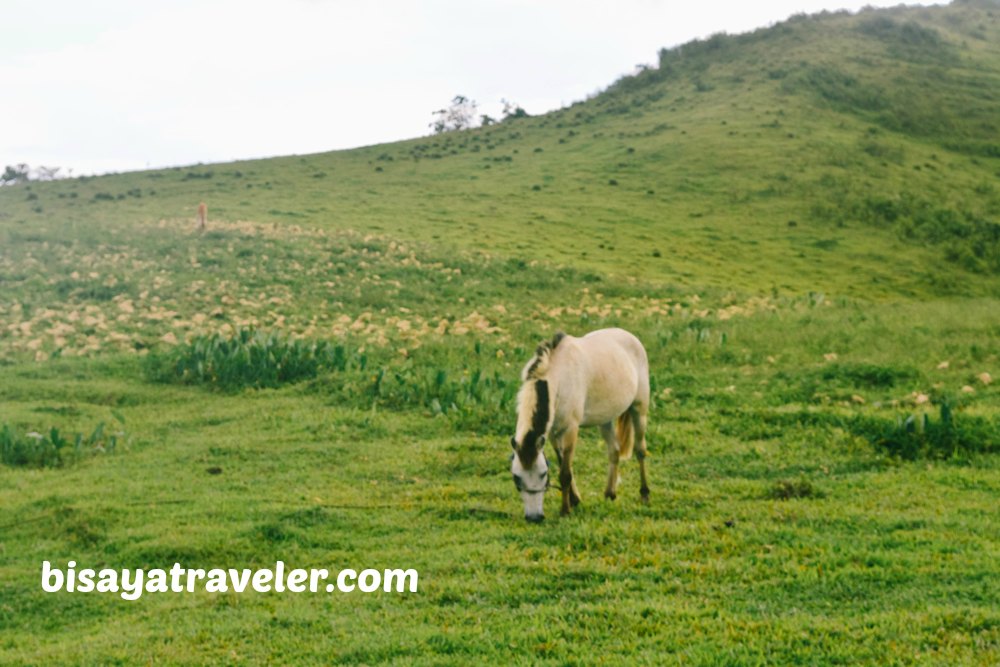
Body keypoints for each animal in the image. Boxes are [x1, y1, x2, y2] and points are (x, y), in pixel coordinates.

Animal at [508, 328, 648, 520]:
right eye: (516, 476)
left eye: (543, 474)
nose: (534, 518)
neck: (558, 379)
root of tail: (629, 335)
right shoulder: (552, 433)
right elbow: (563, 464)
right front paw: (574, 500)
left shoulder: (570, 429)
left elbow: (565, 473)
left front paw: (565, 510)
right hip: (605, 420)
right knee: (614, 451)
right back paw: (609, 493)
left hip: (639, 409)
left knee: (640, 450)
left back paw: (644, 494)